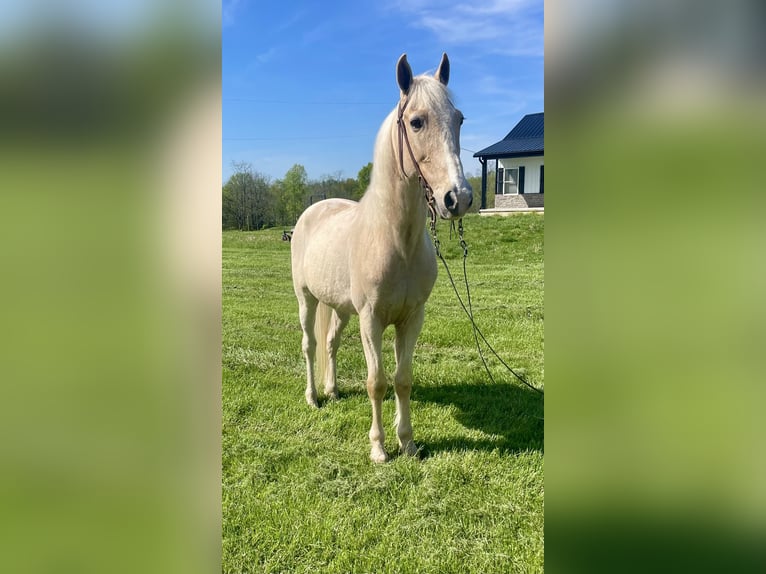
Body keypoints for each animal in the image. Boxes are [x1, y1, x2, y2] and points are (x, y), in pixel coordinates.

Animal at [290, 53, 473, 462]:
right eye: (417, 121)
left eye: (459, 119)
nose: (458, 198)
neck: (395, 240)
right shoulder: (371, 320)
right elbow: (376, 382)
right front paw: (378, 449)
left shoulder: (411, 319)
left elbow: (402, 380)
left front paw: (408, 443)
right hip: (306, 299)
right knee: (311, 345)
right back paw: (313, 397)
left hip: (341, 309)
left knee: (330, 342)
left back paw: (333, 391)